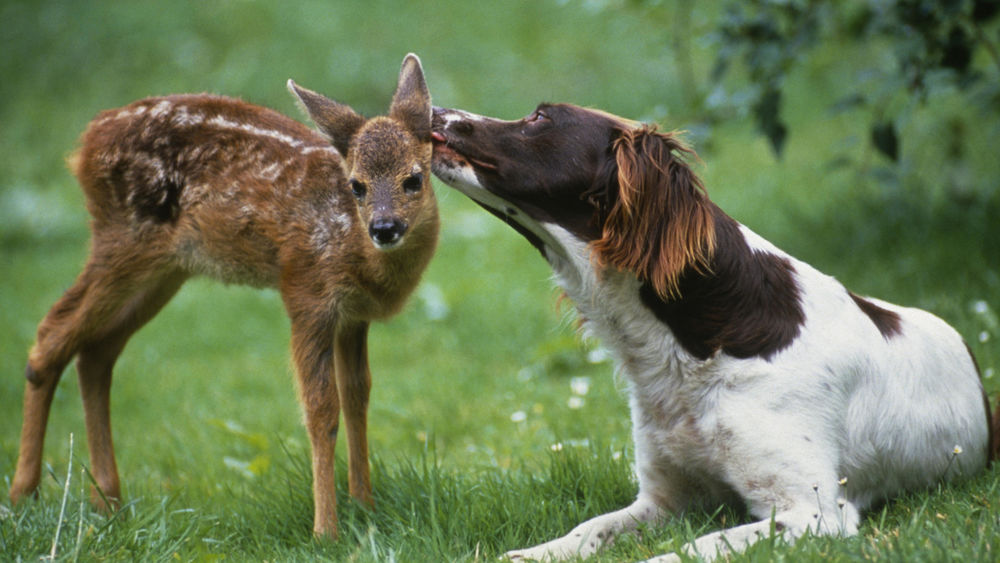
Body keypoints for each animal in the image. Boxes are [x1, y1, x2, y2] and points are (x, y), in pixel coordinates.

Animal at [432, 103, 1000, 560]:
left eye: (539, 118)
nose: (435, 109)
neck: (696, 348)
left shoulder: (813, 511)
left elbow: (695, 547)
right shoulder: (665, 499)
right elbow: (588, 529)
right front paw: (530, 553)